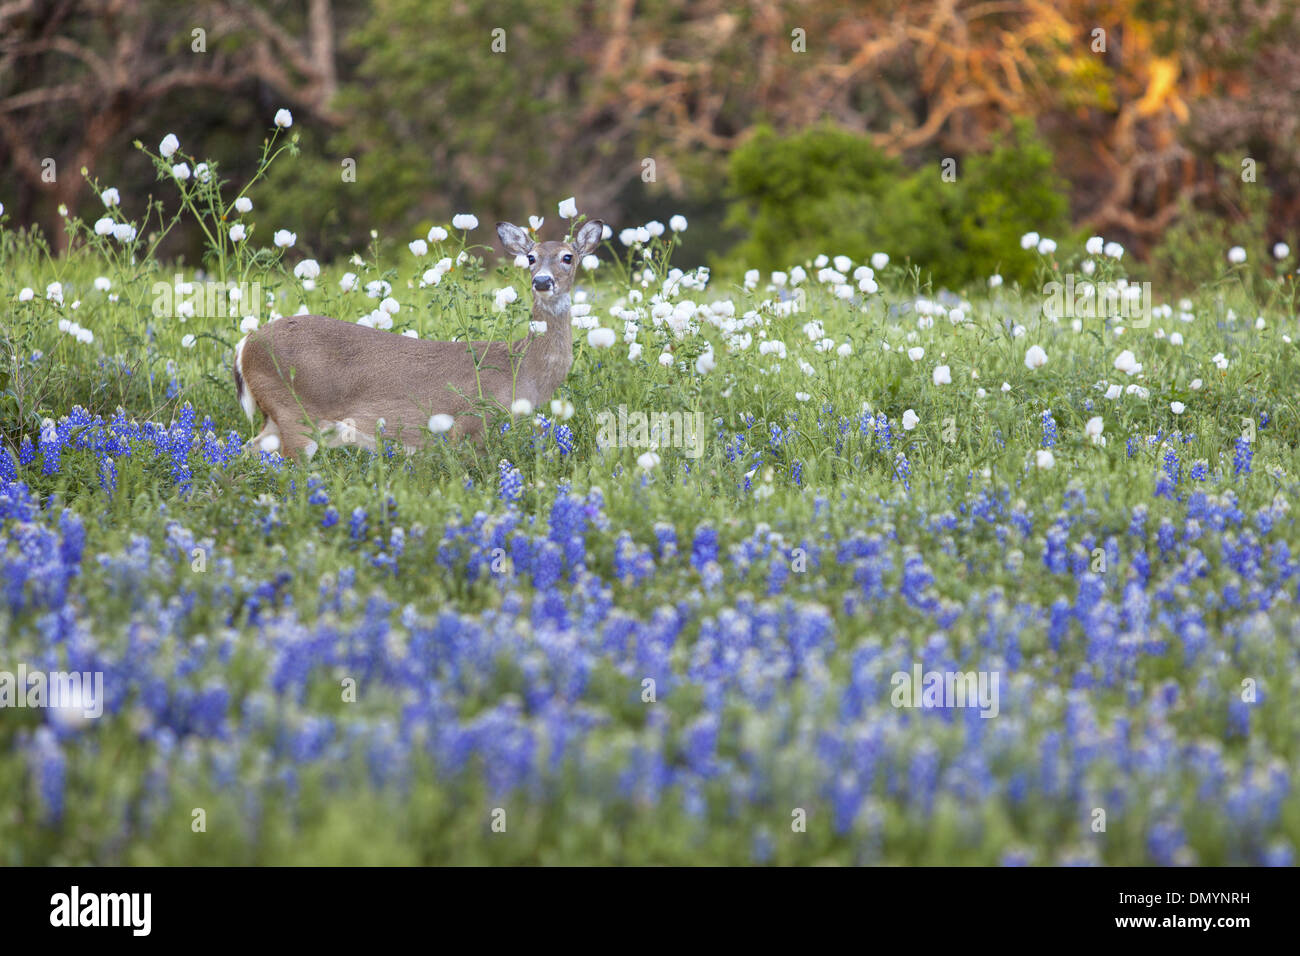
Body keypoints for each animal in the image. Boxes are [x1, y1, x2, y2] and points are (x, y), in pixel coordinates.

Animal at [233, 218, 603, 457]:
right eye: (530, 257)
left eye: (568, 257)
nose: (542, 281)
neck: (522, 370)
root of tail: (245, 346)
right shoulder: (470, 423)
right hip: (295, 411)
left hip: (276, 418)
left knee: (244, 451)